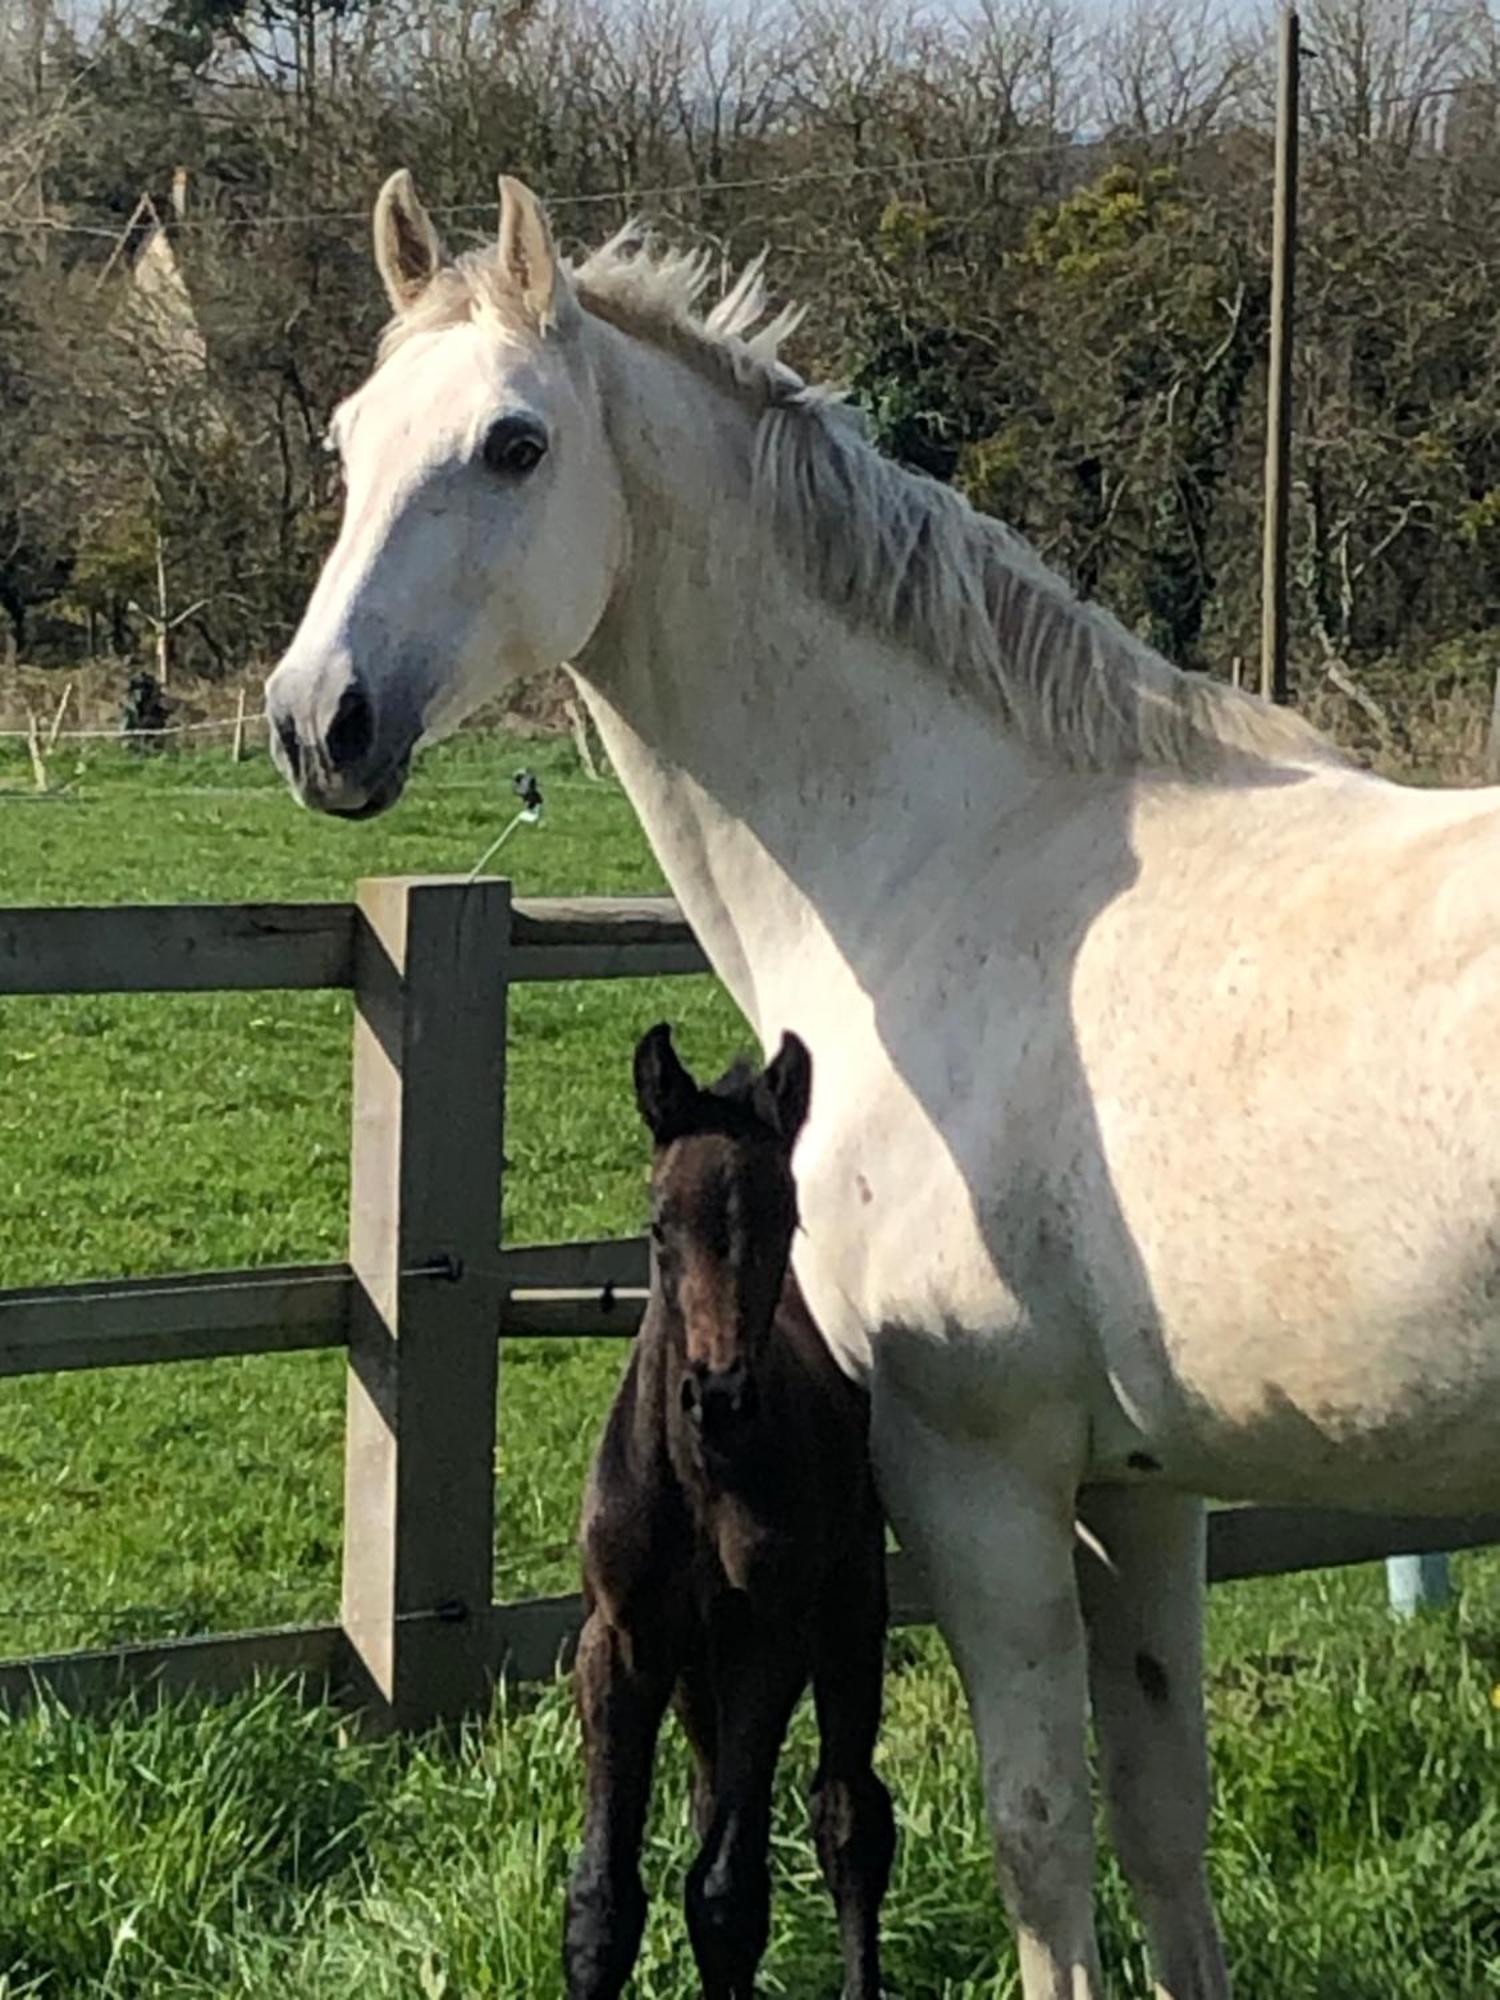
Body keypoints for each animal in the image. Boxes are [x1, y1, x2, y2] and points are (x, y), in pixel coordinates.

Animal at [564, 1032, 892, 2000]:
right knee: (719, 1796)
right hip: (690, 1669)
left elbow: (727, 1897)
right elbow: (604, 1904)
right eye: (658, 1223)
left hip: (850, 1605)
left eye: (785, 1216)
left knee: (851, 1820)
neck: (698, 1482)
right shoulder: (622, 1642)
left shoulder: (765, 1639)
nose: (719, 1396)